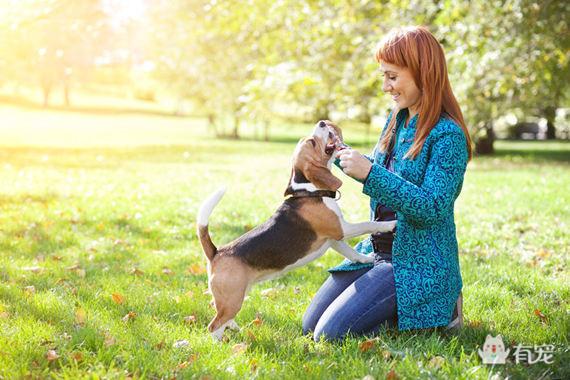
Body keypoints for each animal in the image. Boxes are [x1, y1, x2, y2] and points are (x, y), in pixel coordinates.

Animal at [196, 120, 394, 340]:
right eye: (312, 142)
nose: (322, 122)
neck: (310, 190)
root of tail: (216, 252)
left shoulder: (334, 239)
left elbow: (351, 252)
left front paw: (367, 259)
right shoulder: (342, 229)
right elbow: (367, 224)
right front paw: (390, 224)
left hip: (235, 295)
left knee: (220, 314)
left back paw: (236, 328)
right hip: (232, 298)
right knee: (214, 325)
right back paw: (221, 342)